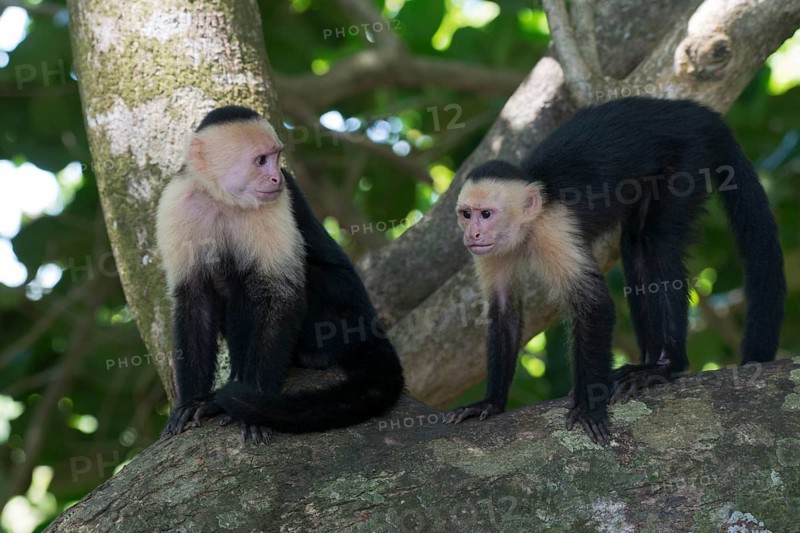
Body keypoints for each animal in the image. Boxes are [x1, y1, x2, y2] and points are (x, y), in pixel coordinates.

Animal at [156, 105, 404, 444]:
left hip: (336, 316)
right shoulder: (176, 204)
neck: (223, 199)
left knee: (253, 280)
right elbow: (195, 299)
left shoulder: (275, 202)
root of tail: (366, 324)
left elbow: (279, 293)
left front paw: (249, 404)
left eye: (276, 157)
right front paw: (191, 402)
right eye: (261, 160)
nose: (276, 177)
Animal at [445, 97, 785, 444]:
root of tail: (700, 113)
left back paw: (666, 365)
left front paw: (589, 406)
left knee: (654, 239)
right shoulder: (490, 253)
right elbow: (504, 313)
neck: (528, 226)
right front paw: (491, 403)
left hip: (691, 155)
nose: (472, 234)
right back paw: (647, 362)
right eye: (466, 214)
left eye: (487, 214)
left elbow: (594, 305)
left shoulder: (554, 229)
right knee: (635, 243)